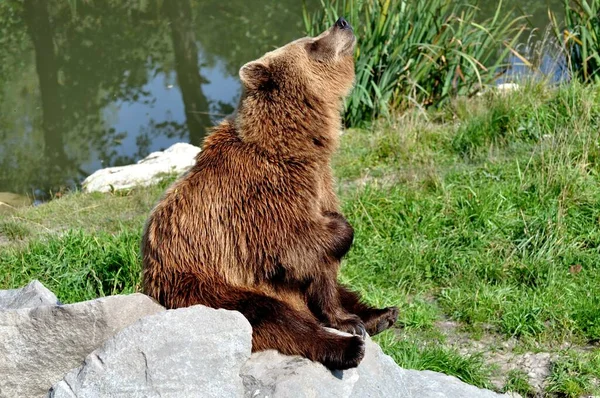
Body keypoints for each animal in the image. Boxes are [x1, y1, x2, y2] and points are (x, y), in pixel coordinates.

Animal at [142, 15, 398, 370]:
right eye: (311, 43)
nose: (342, 22)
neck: (293, 148)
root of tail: (151, 284)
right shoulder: (260, 198)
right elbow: (293, 244)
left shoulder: (319, 184)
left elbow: (325, 272)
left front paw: (350, 317)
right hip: (204, 286)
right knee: (267, 315)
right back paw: (346, 348)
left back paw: (382, 314)